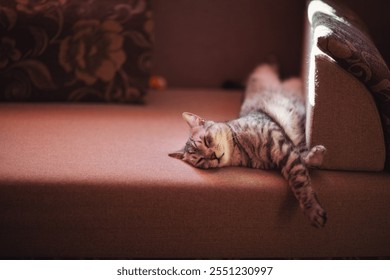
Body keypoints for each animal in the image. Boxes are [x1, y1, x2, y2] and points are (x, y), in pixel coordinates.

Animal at [169, 64, 328, 228]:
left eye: (207, 140)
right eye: (201, 160)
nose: (212, 156)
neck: (242, 148)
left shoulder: (282, 147)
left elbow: (299, 181)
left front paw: (312, 209)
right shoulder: (283, 155)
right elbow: (301, 166)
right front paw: (314, 156)